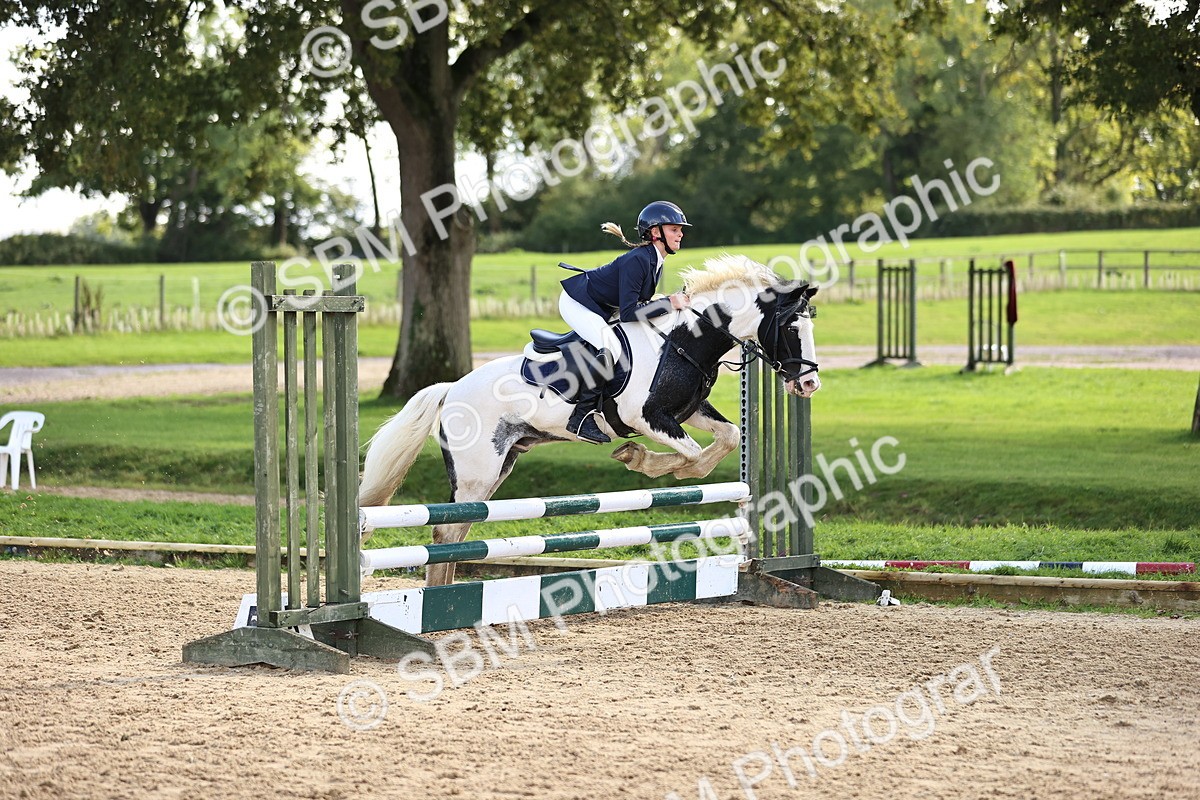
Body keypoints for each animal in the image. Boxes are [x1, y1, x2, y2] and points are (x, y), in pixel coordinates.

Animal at [359, 254, 821, 586]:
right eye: (790, 328)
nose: (809, 384)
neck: (683, 340)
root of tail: (451, 388)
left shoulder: (687, 411)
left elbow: (728, 436)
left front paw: (652, 462)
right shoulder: (646, 417)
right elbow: (689, 454)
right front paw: (640, 459)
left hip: (496, 470)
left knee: (455, 536)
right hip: (477, 472)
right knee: (444, 535)